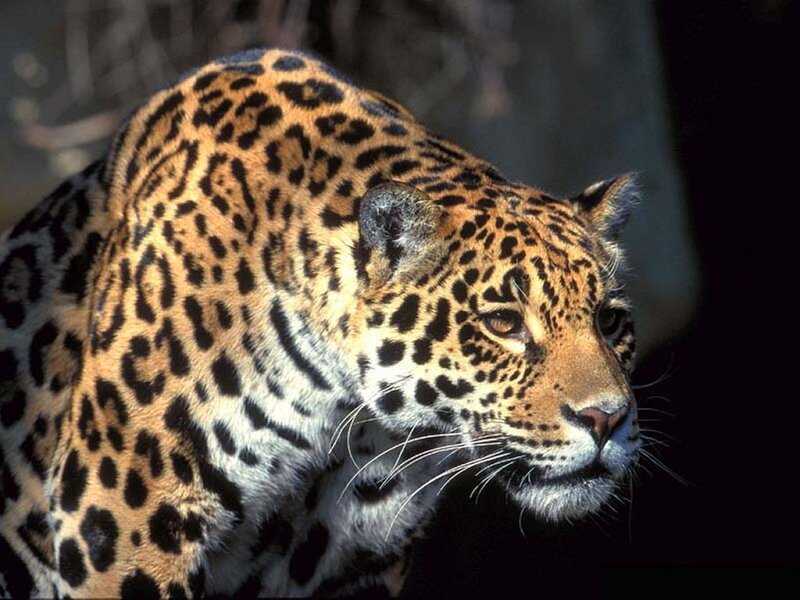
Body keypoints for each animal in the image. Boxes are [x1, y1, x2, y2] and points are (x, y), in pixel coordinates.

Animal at [0, 48, 641, 598]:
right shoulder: (121, 516)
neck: (341, 408)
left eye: (610, 322)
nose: (606, 420)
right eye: (504, 323)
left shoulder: (360, 548)